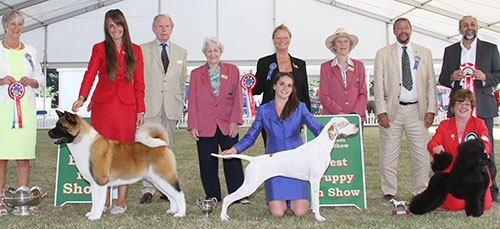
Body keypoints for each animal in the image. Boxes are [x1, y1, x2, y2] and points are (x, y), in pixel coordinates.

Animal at [48, 111, 186, 220]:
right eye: (56, 124)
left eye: (61, 126)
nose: (49, 132)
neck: (85, 142)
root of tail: (163, 145)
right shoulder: (94, 183)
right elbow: (94, 200)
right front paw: (92, 214)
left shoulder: (100, 182)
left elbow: (98, 201)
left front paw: (95, 216)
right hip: (157, 180)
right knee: (171, 196)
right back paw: (173, 210)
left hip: (164, 177)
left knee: (179, 194)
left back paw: (180, 214)